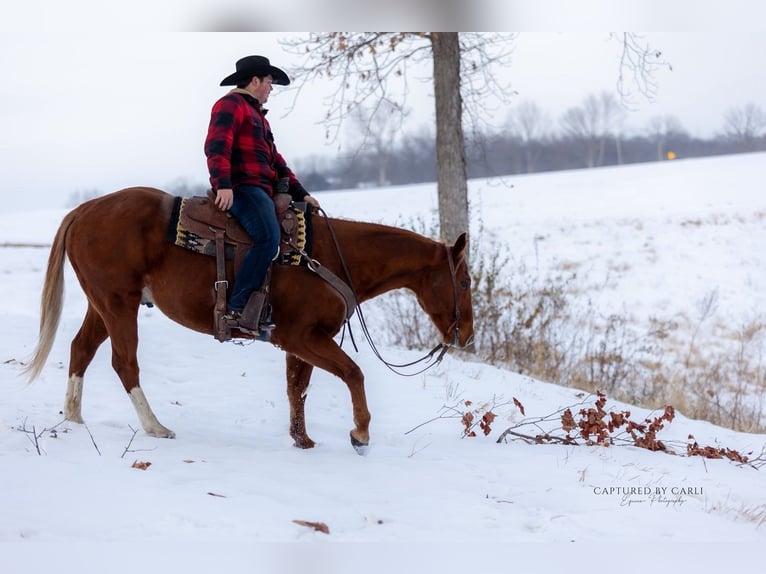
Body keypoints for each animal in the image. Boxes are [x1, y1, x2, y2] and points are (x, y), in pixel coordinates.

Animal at [23, 186, 474, 453]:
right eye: (466, 281)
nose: (467, 336)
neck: (329, 258)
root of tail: (84, 210)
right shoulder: (301, 336)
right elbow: (353, 373)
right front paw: (360, 434)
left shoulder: (302, 343)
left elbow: (297, 389)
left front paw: (302, 440)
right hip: (119, 303)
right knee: (124, 363)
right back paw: (156, 427)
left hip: (104, 304)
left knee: (81, 349)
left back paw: (74, 417)